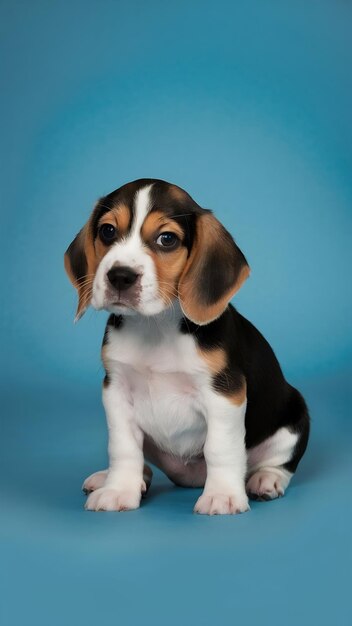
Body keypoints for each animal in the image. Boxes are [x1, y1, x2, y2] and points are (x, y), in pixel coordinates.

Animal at [64, 178, 310, 516]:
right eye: (108, 231)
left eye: (167, 239)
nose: (120, 276)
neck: (155, 327)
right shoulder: (116, 391)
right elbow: (123, 447)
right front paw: (119, 489)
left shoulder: (224, 395)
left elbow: (220, 448)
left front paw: (222, 495)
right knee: (142, 460)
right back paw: (116, 478)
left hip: (294, 418)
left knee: (279, 463)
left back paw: (265, 480)